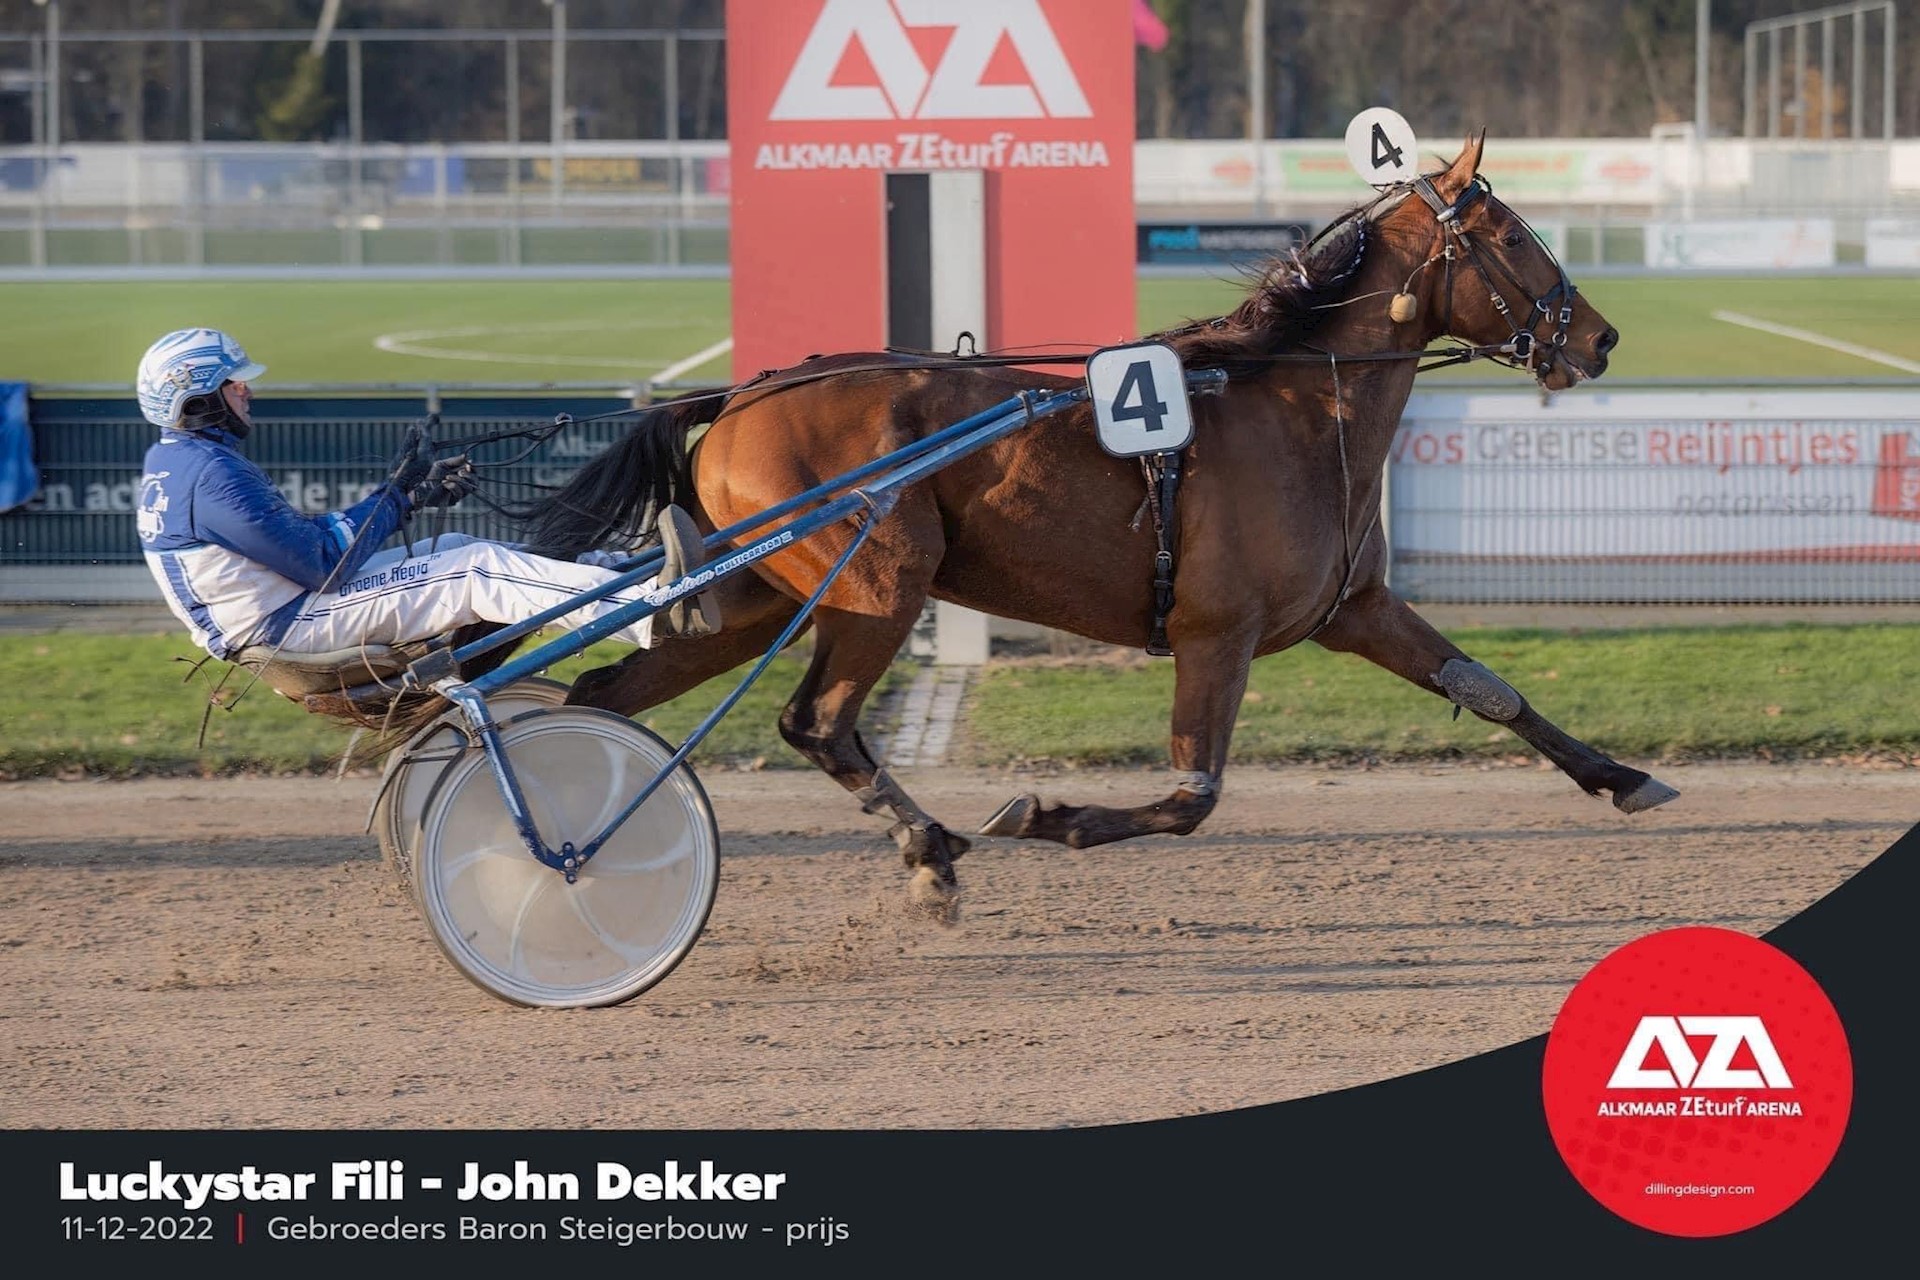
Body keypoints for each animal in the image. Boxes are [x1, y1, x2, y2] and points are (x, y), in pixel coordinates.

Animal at [516, 133, 1677, 914]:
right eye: (1514, 234)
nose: (1603, 338)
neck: (1297, 405)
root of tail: (739, 397)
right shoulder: (1218, 633)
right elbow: (1193, 793)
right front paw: (1045, 816)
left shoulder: (1355, 608)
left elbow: (1493, 691)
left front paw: (1624, 777)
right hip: (880, 579)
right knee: (817, 721)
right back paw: (929, 851)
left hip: (757, 599)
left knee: (607, 692)